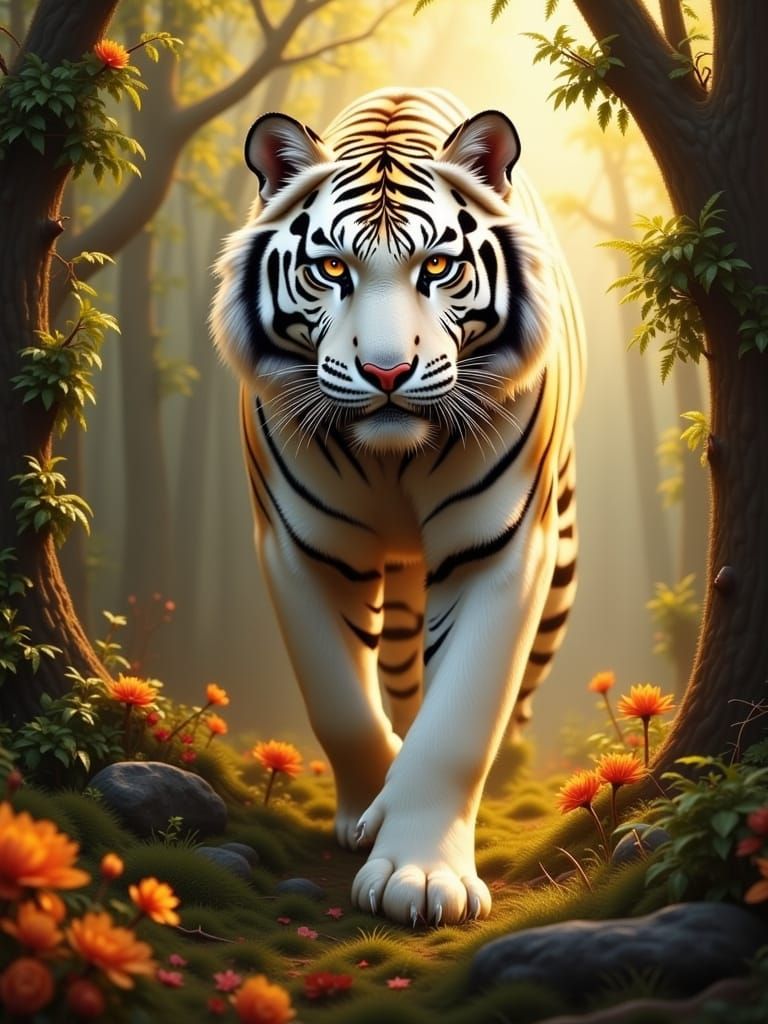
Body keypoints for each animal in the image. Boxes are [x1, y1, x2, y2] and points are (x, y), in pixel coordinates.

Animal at [211, 87, 585, 926]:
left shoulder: (501, 550)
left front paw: (419, 872)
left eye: (437, 266)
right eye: (331, 268)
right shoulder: (300, 547)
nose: (387, 372)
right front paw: (369, 810)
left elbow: (460, 722)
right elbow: (339, 706)